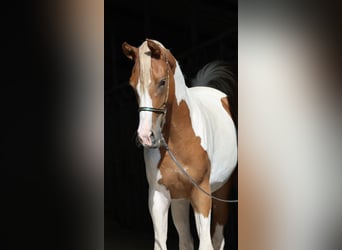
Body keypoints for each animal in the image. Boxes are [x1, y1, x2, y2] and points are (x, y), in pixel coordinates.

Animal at [123, 39, 238, 250]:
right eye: (132, 85)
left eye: (162, 82)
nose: (145, 136)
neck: (179, 140)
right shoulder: (158, 196)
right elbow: (162, 243)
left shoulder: (202, 195)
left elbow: (206, 244)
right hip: (180, 200)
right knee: (185, 240)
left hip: (221, 191)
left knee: (218, 239)